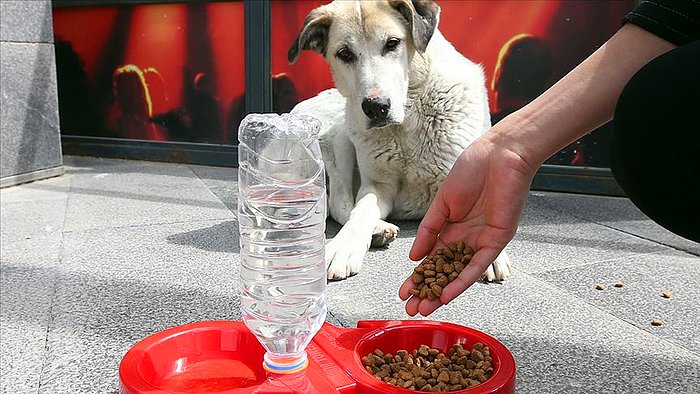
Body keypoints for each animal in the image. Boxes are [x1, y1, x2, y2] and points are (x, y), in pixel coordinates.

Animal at [288, 0, 512, 284]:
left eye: (392, 43)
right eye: (345, 54)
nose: (376, 108)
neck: (407, 123)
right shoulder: (377, 185)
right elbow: (360, 211)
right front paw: (343, 246)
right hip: (341, 131)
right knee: (340, 202)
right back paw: (378, 230)